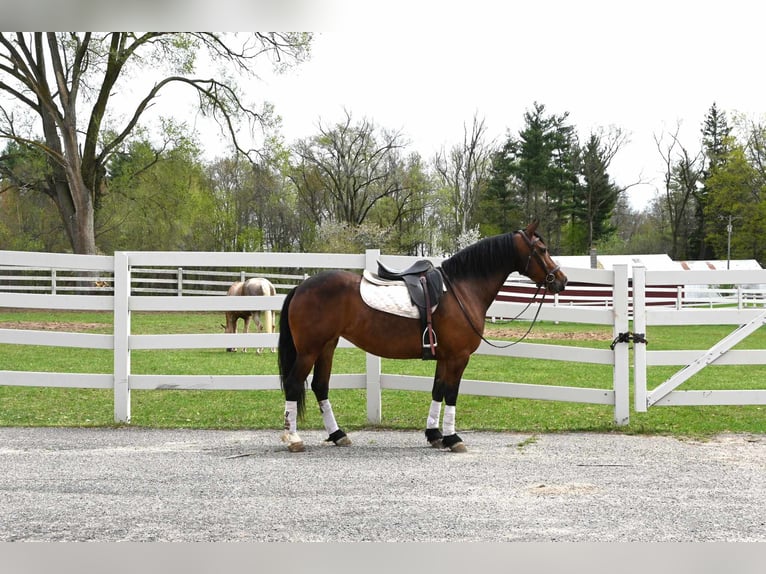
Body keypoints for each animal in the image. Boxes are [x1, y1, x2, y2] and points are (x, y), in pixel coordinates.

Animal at [280, 224, 568, 454]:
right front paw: (453, 438)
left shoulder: (444, 357)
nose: (561, 281)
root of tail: (301, 287)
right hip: (309, 350)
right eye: (542, 249)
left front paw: (434, 435)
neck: (461, 289)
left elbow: (437, 390)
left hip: (327, 347)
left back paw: (338, 435)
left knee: (320, 386)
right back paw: (293, 438)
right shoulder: (459, 357)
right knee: (294, 384)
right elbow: (451, 393)